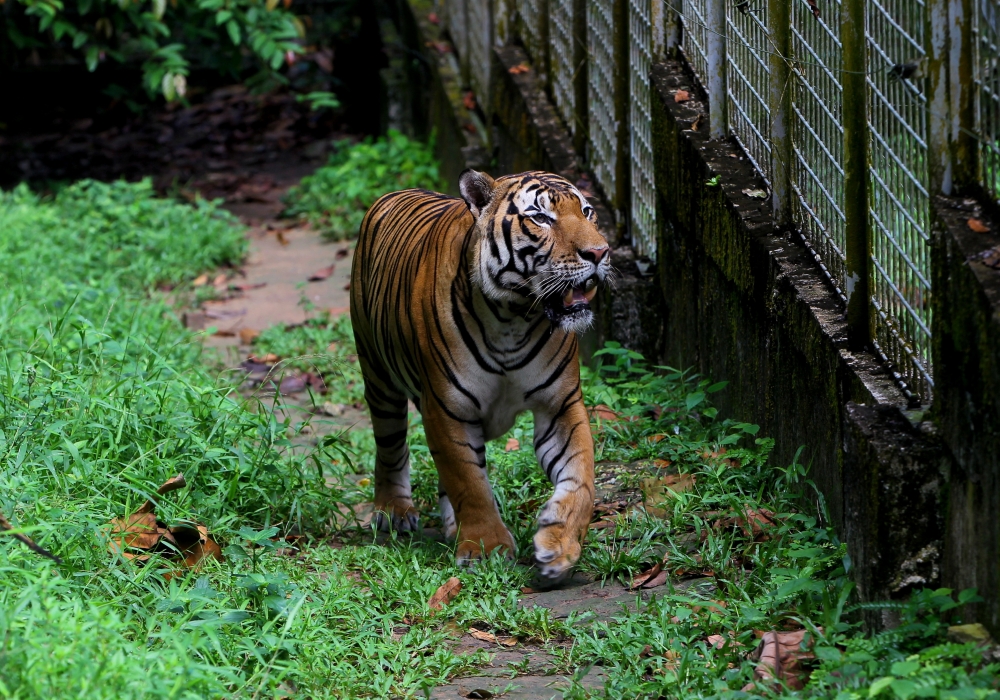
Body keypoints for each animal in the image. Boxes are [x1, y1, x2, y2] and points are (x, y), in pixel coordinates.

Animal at [350, 169, 611, 583]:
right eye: (541, 218)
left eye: (587, 212)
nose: (600, 253)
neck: (515, 318)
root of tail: (396, 192)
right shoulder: (446, 408)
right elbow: (468, 482)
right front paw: (487, 549)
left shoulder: (560, 404)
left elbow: (581, 477)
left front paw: (560, 546)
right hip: (378, 378)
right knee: (390, 447)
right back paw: (393, 512)